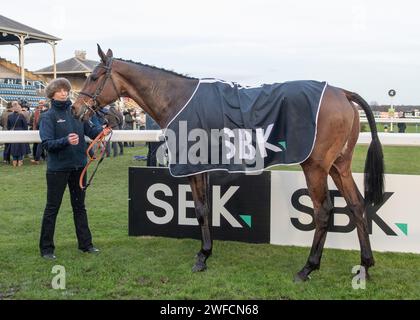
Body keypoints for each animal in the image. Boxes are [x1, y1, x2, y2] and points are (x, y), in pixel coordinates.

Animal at [71, 44, 384, 280]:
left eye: (95, 76)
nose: (76, 109)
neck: (177, 99)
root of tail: (342, 92)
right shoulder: (204, 167)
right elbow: (207, 208)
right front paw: (207, 251)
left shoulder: (192, 165)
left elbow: (199, 209)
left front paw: (202, 256)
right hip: (339, 165)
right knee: (356, 205)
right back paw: (365, 264)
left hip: (316, 166)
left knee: (323, 212)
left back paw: (308, 267)